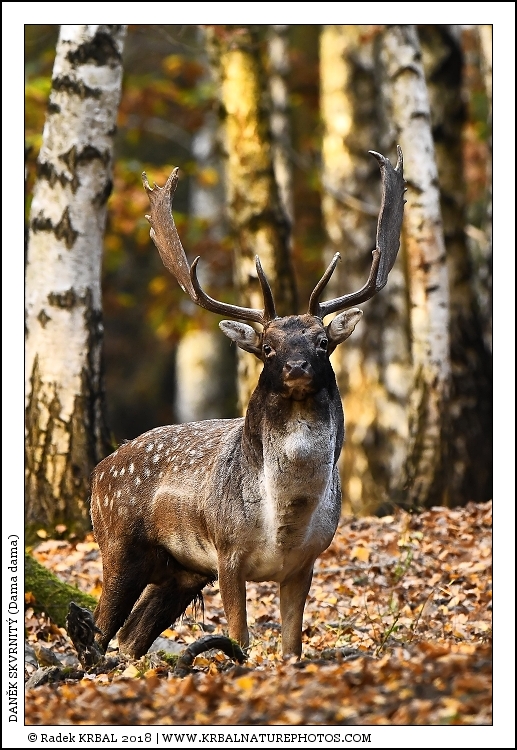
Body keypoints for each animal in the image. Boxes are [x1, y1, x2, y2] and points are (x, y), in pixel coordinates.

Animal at [90, 147, 405, 660]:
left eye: (322, 343)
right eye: (268, 348)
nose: (297, 367)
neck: (285, 522)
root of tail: (98, 471)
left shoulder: (306, 562)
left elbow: (292, 645)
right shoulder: (227, 553)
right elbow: (238, 638)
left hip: (180, 570)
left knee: (131, 636)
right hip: (119, 545)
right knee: (99, 631)